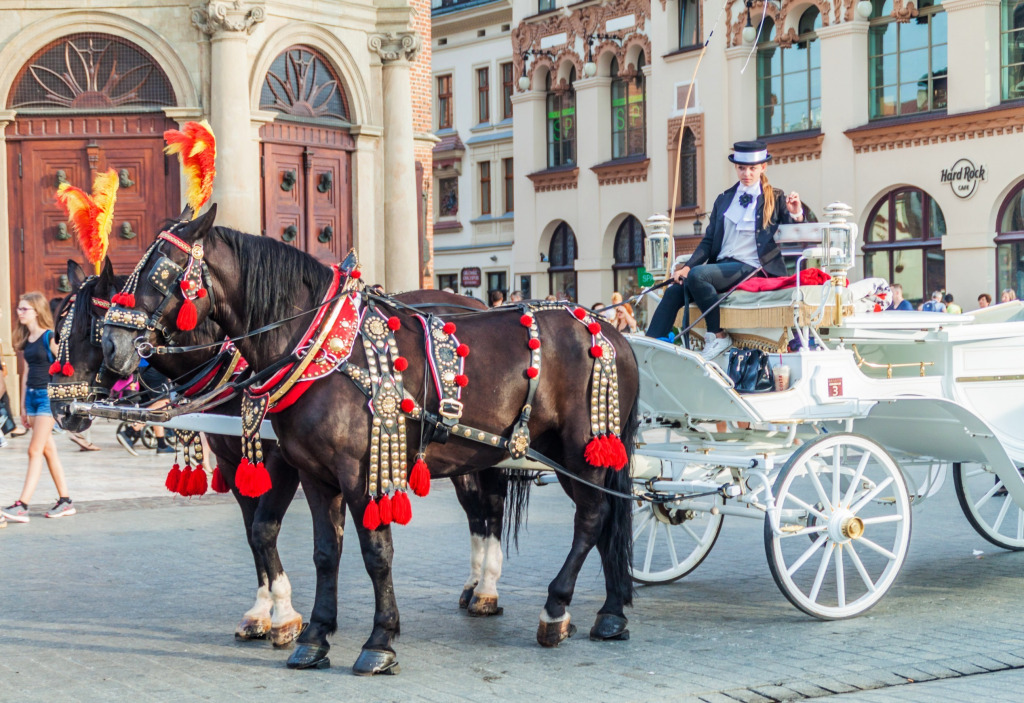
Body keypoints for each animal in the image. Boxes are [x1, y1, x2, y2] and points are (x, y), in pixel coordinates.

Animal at [101, 208, 630, 675]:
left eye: (159, 271)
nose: (112, 345)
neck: (319, 349)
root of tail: (608, 329)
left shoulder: (355, 472)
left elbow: (374, 552)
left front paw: (378, 642)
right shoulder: (313, 474)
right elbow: (323, 552)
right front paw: (313, 636)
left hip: (580, 448)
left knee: (591, 517)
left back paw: (555, 610)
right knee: (596, 516)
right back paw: (609, 613)